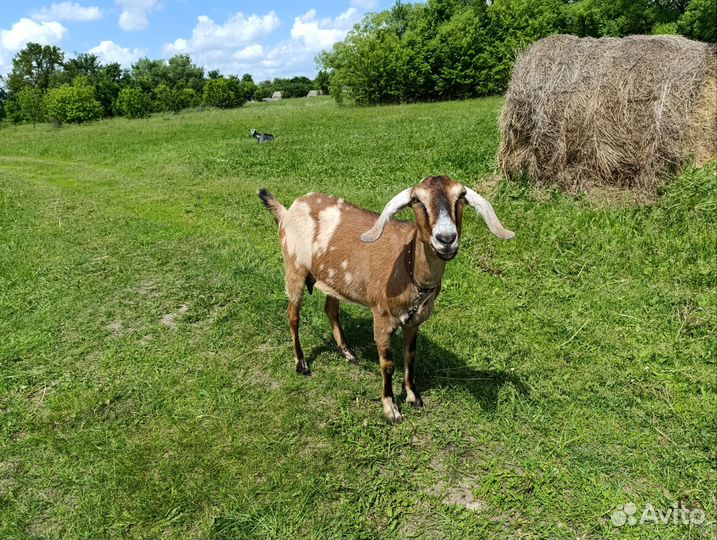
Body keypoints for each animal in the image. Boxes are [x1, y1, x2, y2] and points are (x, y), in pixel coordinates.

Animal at [258, 176, 515, 424]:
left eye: (461, 195)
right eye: (416, 199)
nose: (446, 238)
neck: (408, 267)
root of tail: (290, 210)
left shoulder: (414, 322)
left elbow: (411, 355)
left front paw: (413, 396)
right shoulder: (381, 318)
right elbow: (388, 365)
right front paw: (391, 409)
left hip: (333, 281)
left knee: (331, 308)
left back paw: (348, 353)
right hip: (294, 268)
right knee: (293, 315)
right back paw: (301, 363)